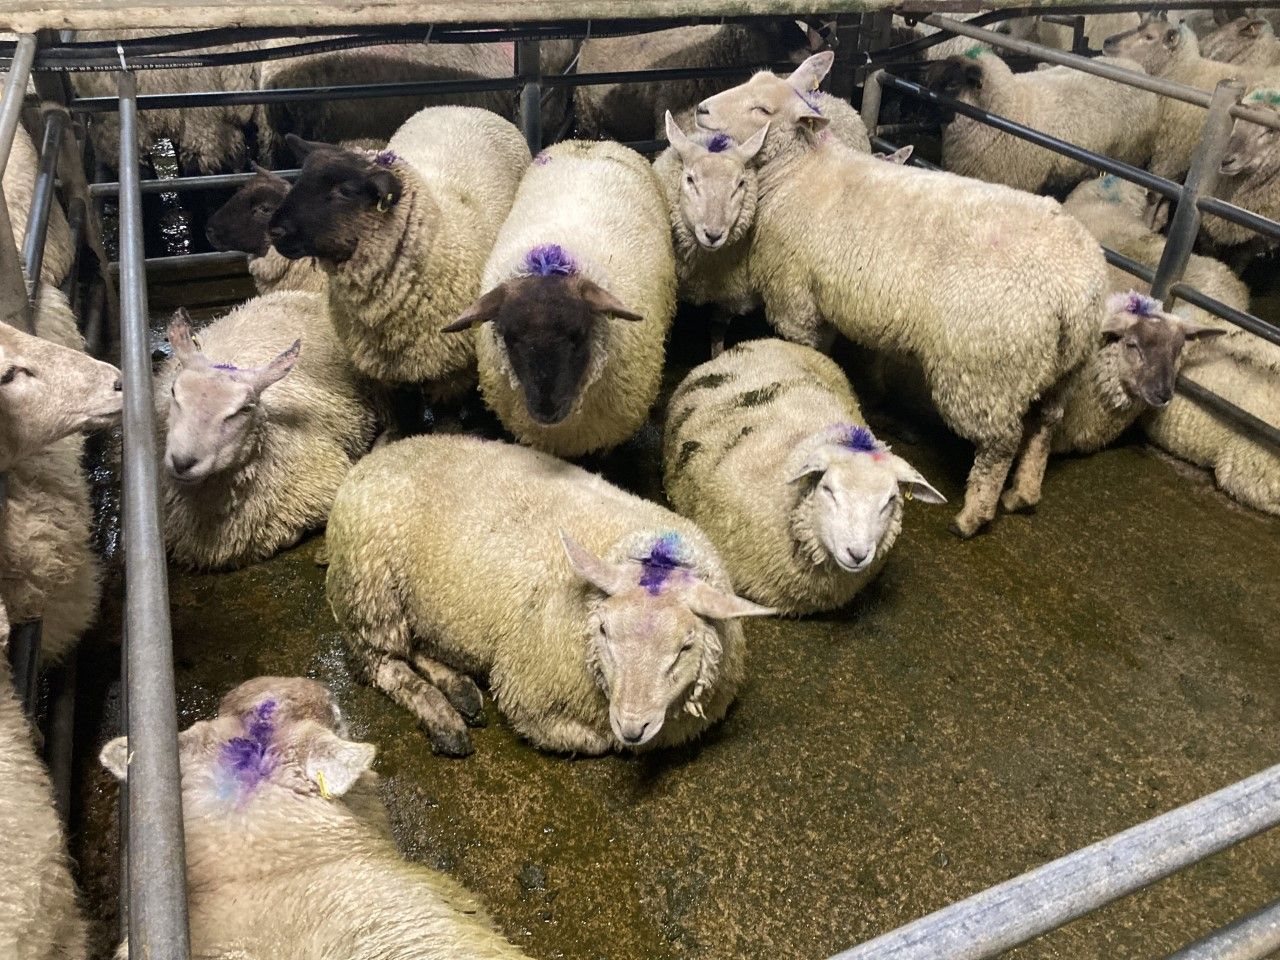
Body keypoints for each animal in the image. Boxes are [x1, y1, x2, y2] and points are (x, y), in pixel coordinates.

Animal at [268, 107, 530, 402]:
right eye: (299, 179)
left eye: (345, 191)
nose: (274, 230)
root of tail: (464, 108)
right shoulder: (387, 381)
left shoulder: (454, 380)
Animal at [325, 434, 772, 756]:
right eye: (604, 632)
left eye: (685, 647)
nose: (631, 727)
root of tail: (377, 456)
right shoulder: (529, 698)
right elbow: (593, 742)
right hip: (370, 593)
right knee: (385, 664)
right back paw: (443, 719)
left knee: (417, 646)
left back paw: (461, 690)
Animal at [653, 97, 869, 354]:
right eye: (690, 179)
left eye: (740, 184)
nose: (713, 234)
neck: (705, 270)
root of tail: (834, 99)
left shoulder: (732, 294)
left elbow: (717, 327)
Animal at [694, 52, 1110, 536]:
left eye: (762, 109)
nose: (701, 110)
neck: (801, 172)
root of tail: (1077, 290)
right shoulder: (827, 299)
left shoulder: (796, 296)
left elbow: (805, 348)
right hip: (1066, 368)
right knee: (1045, 424)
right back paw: (1024, 492)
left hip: (986, 367)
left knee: (999, 444)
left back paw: (974, 514)